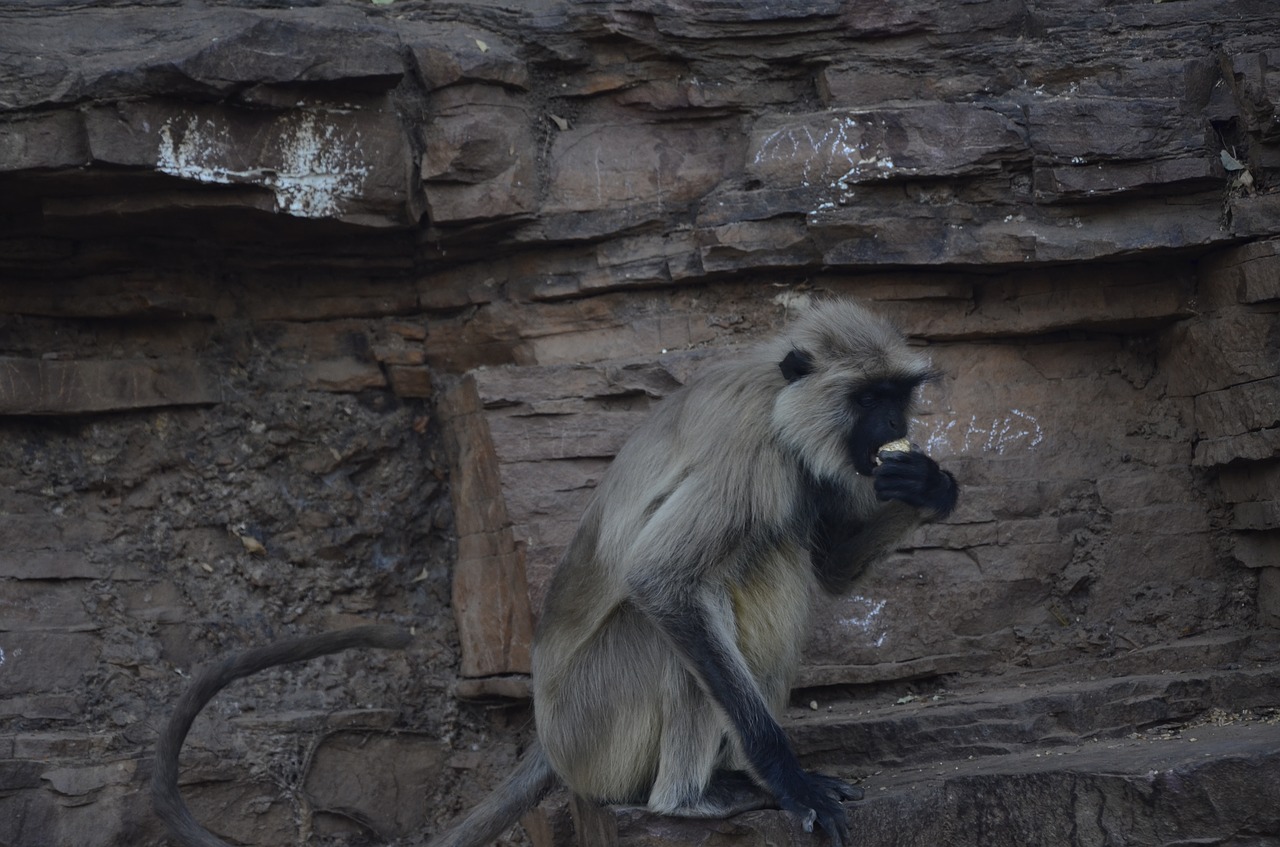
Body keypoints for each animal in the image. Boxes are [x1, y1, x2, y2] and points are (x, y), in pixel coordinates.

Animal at [152, 300, 962, 847]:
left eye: (898, 395)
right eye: (866, 397)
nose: (891, 427)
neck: (776, 394)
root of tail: (549, 731)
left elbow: (829, 567)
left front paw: (929, 486)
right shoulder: (755, 449)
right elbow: (660, 581)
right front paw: (788, 777)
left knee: (781, 557)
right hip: (593, 725)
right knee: (685, 606)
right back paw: (690, 801)